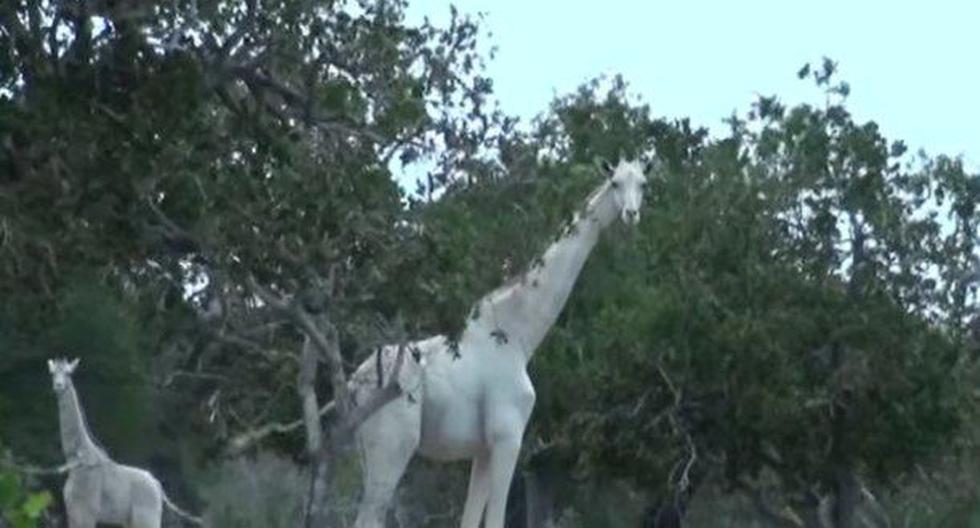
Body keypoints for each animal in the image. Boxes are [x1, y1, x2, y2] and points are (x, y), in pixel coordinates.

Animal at [348, 158, 656, 528]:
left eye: (642, 183)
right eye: (614, 183)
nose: (631, 215)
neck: (519, 336)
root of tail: (354, 384)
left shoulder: (482, 449)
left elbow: (469, 519)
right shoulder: (508, 437)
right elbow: (496, 517)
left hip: (367, 451)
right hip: (392, 446)